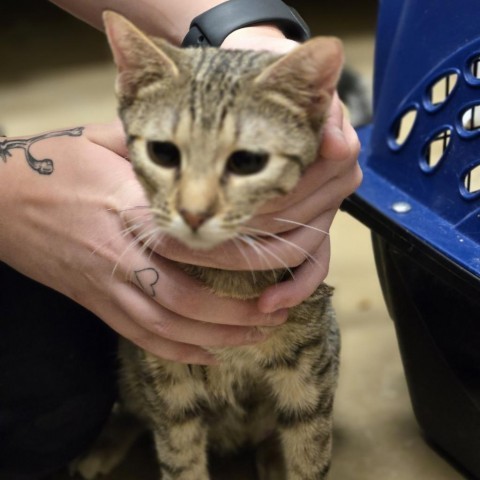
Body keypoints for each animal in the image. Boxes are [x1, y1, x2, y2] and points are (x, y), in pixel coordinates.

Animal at [77, 11, 344, 480]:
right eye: (163, 153)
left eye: (247, 162)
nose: (194, 213)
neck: (226, 278)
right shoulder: (164, 367)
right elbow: (180, 455)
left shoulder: (312, 367)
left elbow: (310, 452)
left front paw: (293, 461)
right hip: (131, 361)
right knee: (135, 408)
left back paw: (271, 457)